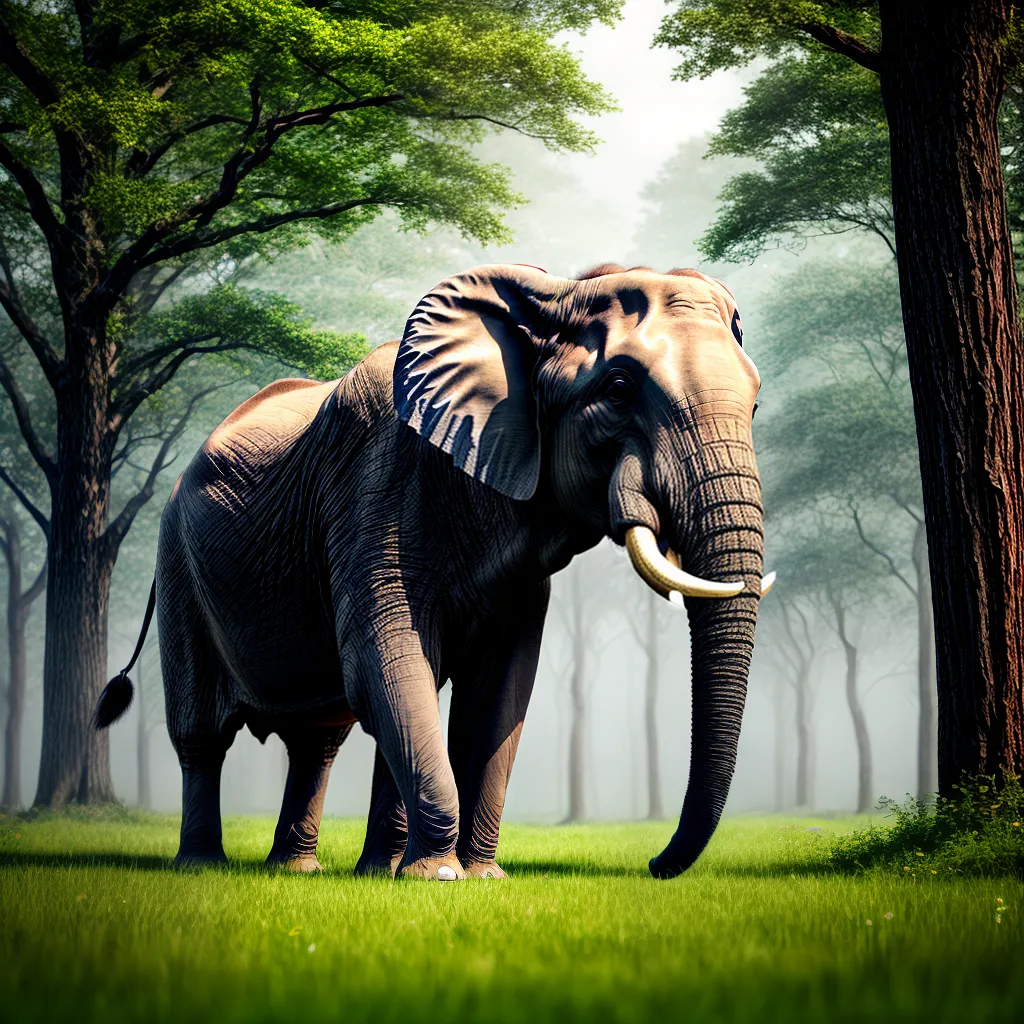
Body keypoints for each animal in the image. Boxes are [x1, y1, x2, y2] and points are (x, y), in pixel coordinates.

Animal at [95, 261, 772, 881]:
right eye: (620, 386)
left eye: (757, 403)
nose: (656, 865)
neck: (551, 293)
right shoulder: (374, 489)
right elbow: (387, 658)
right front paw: (438, 878)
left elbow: (497, 688)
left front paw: (475, 877)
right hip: (177, 564)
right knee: (203, 732)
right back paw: (202, 865)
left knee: (318, 739)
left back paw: (306, 870)